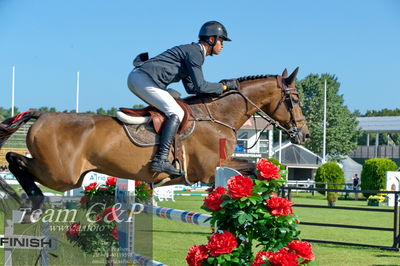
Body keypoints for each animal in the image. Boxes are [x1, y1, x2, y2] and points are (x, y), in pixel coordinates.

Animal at [0, 67, 310, 217]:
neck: (218, 115)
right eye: (295, 99)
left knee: (16, 161)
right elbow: (252, 169)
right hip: (62, 175)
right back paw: (32, 202)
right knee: (14, 161)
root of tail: (41, 115)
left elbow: (256, 169)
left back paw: (21, 199)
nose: (304, 134)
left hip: (65, 175)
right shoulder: (210, 170)